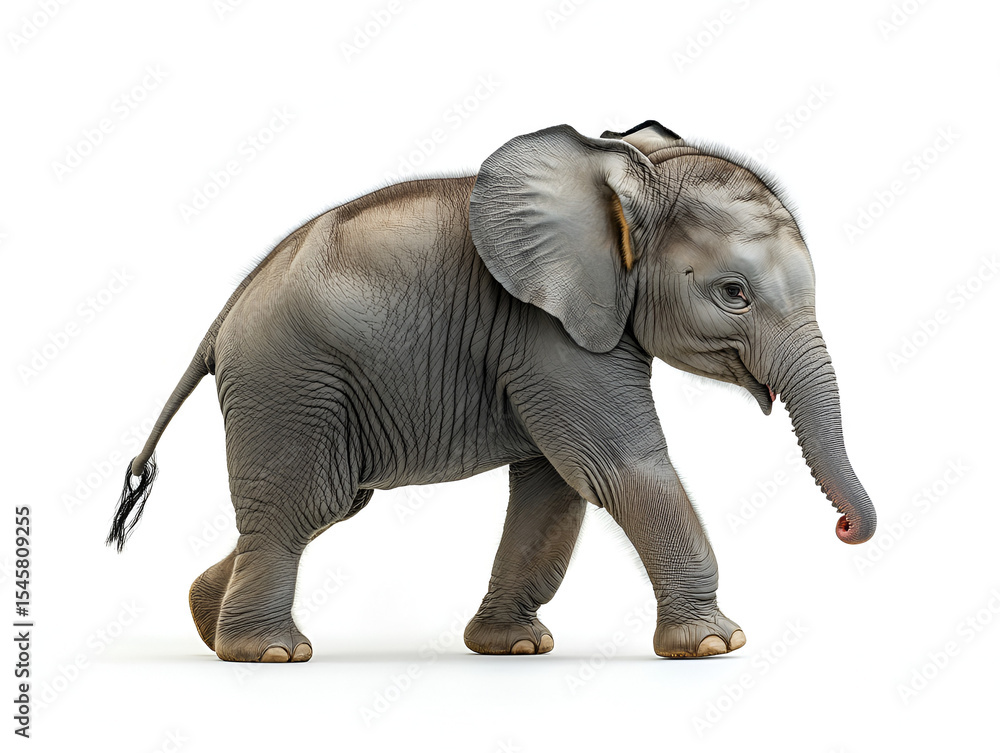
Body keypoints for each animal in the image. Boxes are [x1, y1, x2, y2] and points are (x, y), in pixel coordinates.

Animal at [108, 119, 876, 663]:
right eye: (734, 293)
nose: (844, 530)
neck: (629, 175)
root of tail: (221, 319)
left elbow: (555, 487)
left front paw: (515, 648)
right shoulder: (547, 333)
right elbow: (617, 468)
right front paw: (718, 644)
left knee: (326, 506)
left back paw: (208, 624)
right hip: (291, 382)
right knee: (307, 504)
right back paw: (268, 653)